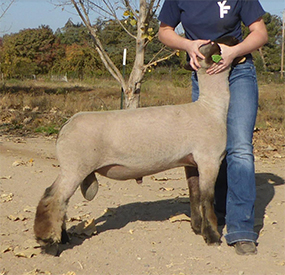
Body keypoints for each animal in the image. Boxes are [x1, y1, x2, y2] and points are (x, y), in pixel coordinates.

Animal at [34, 41, 231, 248]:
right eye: (209, 47)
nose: (222, 42)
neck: (210, 107)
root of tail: (66, 124)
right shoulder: (209, 159)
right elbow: (207, 199)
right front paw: (212, 236)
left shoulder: (190, 161)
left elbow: (195, 195)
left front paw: (197, 227)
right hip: (75, 167)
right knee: (53, 198)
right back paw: (49, 241)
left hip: (71, 167)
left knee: (60, 200)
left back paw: (62, 237)